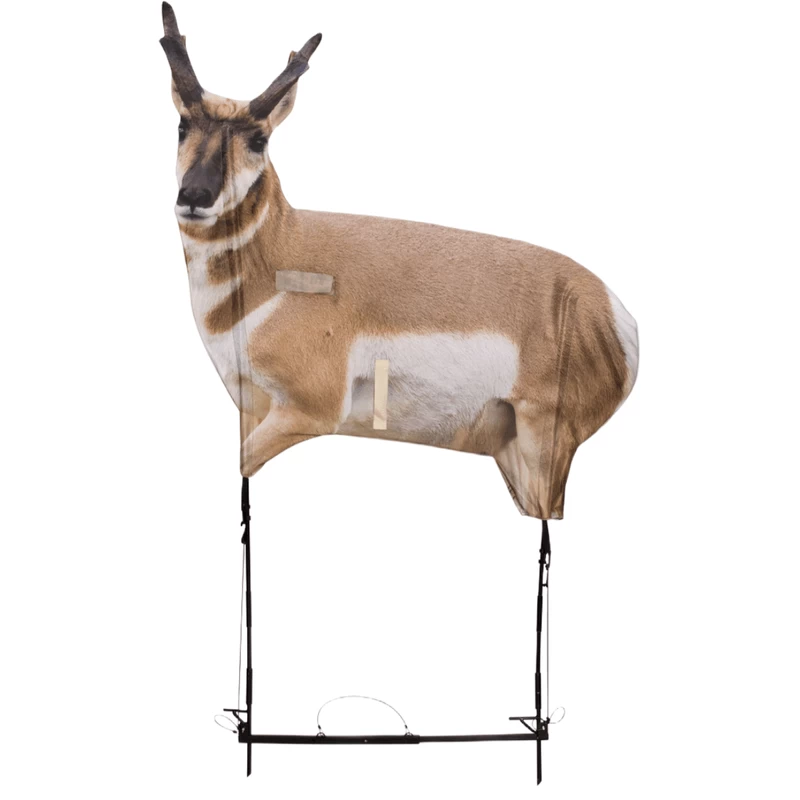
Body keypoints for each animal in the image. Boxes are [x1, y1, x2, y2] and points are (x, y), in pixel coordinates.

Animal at [160, 3, 638, 520]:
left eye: (258, 140)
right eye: (182, 126)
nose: (194, 196)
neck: (283, 256)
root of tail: (612, 311)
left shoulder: (307, 412)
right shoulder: (251, 408)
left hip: (542, 445)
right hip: (511, 453)